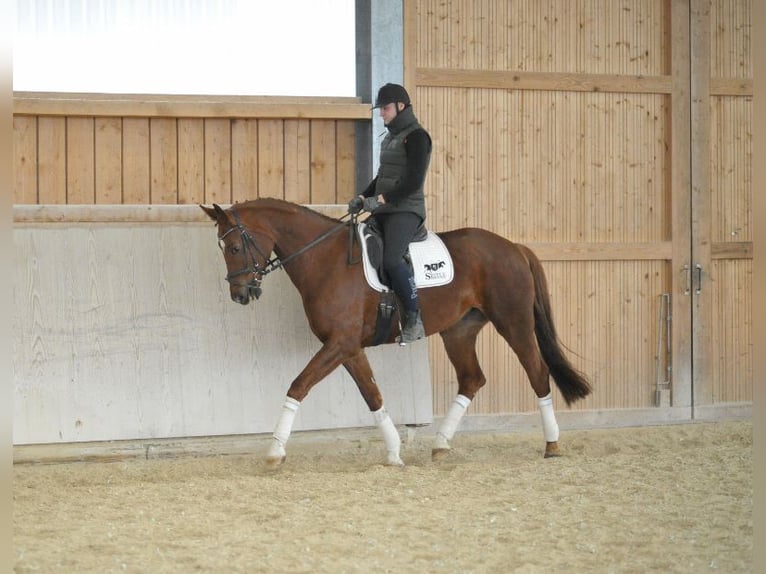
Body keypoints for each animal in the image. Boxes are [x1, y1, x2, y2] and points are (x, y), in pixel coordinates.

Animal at [200, 198, 592, 468]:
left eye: (234, 247)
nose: (240, 294)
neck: (326, 260)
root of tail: (514, 247)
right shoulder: (348, 347)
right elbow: (372, 395)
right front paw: (393, 453)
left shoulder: (340, 343)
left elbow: (298, 385)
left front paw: (274, 451)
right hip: (459, 331)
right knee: (472, 379)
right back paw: (441, 445)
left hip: (513, 322)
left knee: (537, 372)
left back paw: (552, 445)